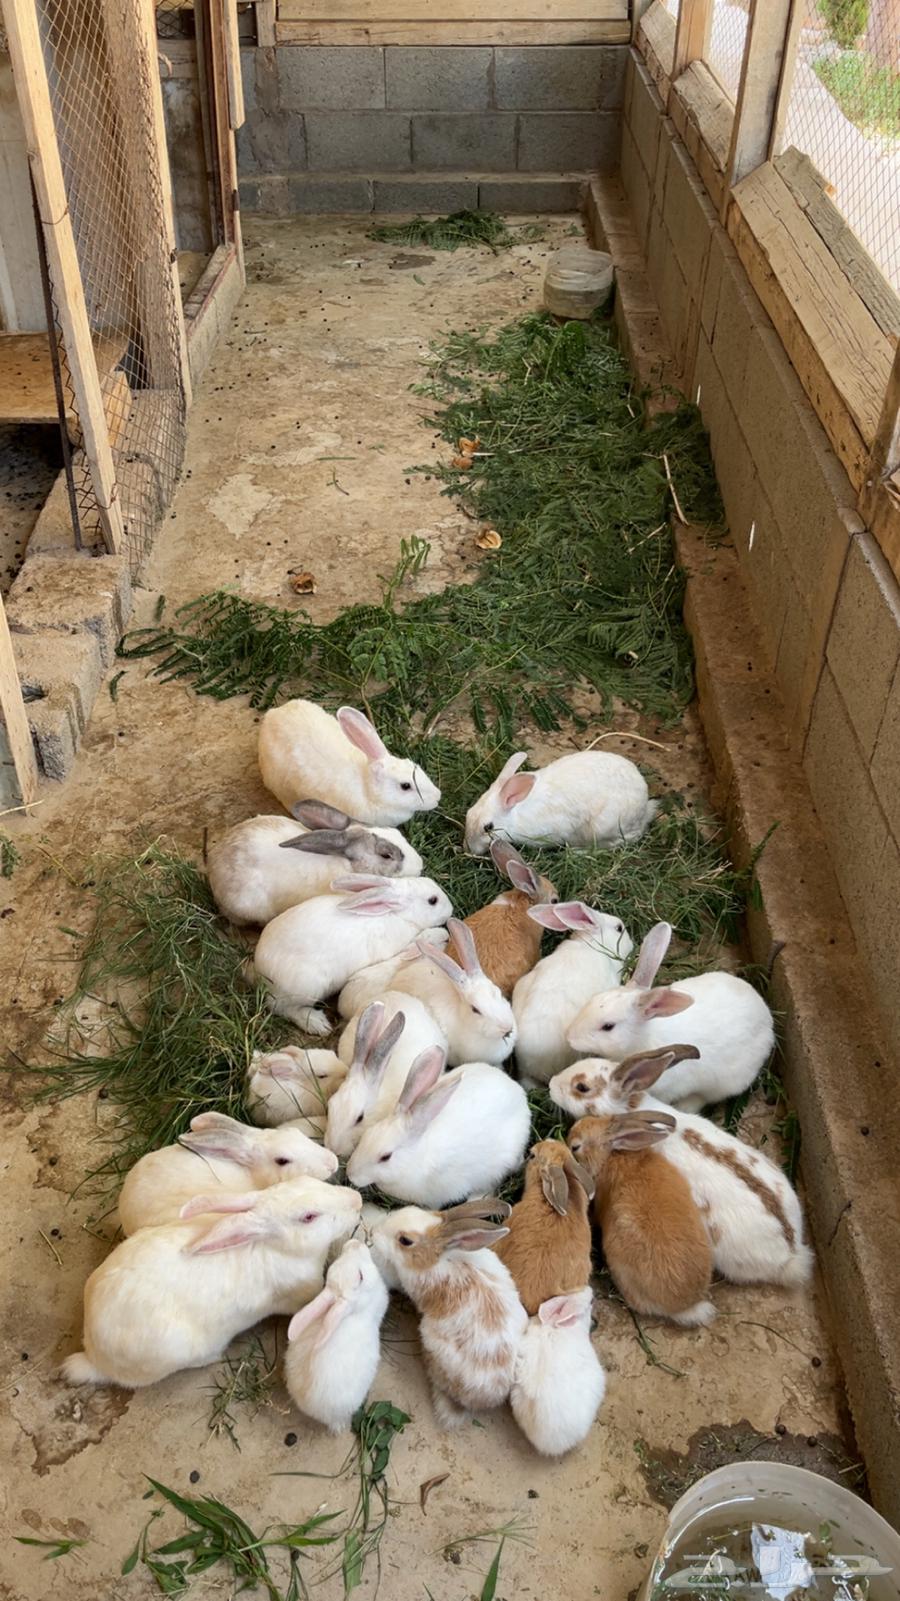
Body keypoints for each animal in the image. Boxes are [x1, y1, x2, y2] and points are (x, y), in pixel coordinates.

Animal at [251, 875, 453, 1036]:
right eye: (433, 900)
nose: (450, 910)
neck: (398, 915)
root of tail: (260, 968)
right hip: (306, 988)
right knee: (280, 1007)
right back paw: (318, 1024)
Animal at [464, 748, 657, 856]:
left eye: (488, 827)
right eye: (468, 813)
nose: (469, 849)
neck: (516, 815)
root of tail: (644, 809)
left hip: (604, 828)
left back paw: (577, 852)